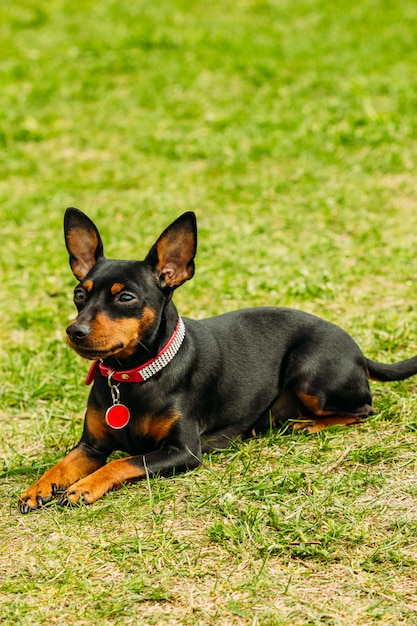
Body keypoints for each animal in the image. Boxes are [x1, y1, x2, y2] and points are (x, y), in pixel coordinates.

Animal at [17, 207, 416, 510]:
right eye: (78, 294)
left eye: (125, 297)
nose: (75, 330)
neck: (134, 375)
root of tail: (358, 351)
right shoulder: (91, 446)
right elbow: (62, 464)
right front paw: (38, 487)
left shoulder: (182, 451)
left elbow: (123, 462)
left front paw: (85, 486)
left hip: (311, 374)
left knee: (363, 409)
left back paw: (307, 424)